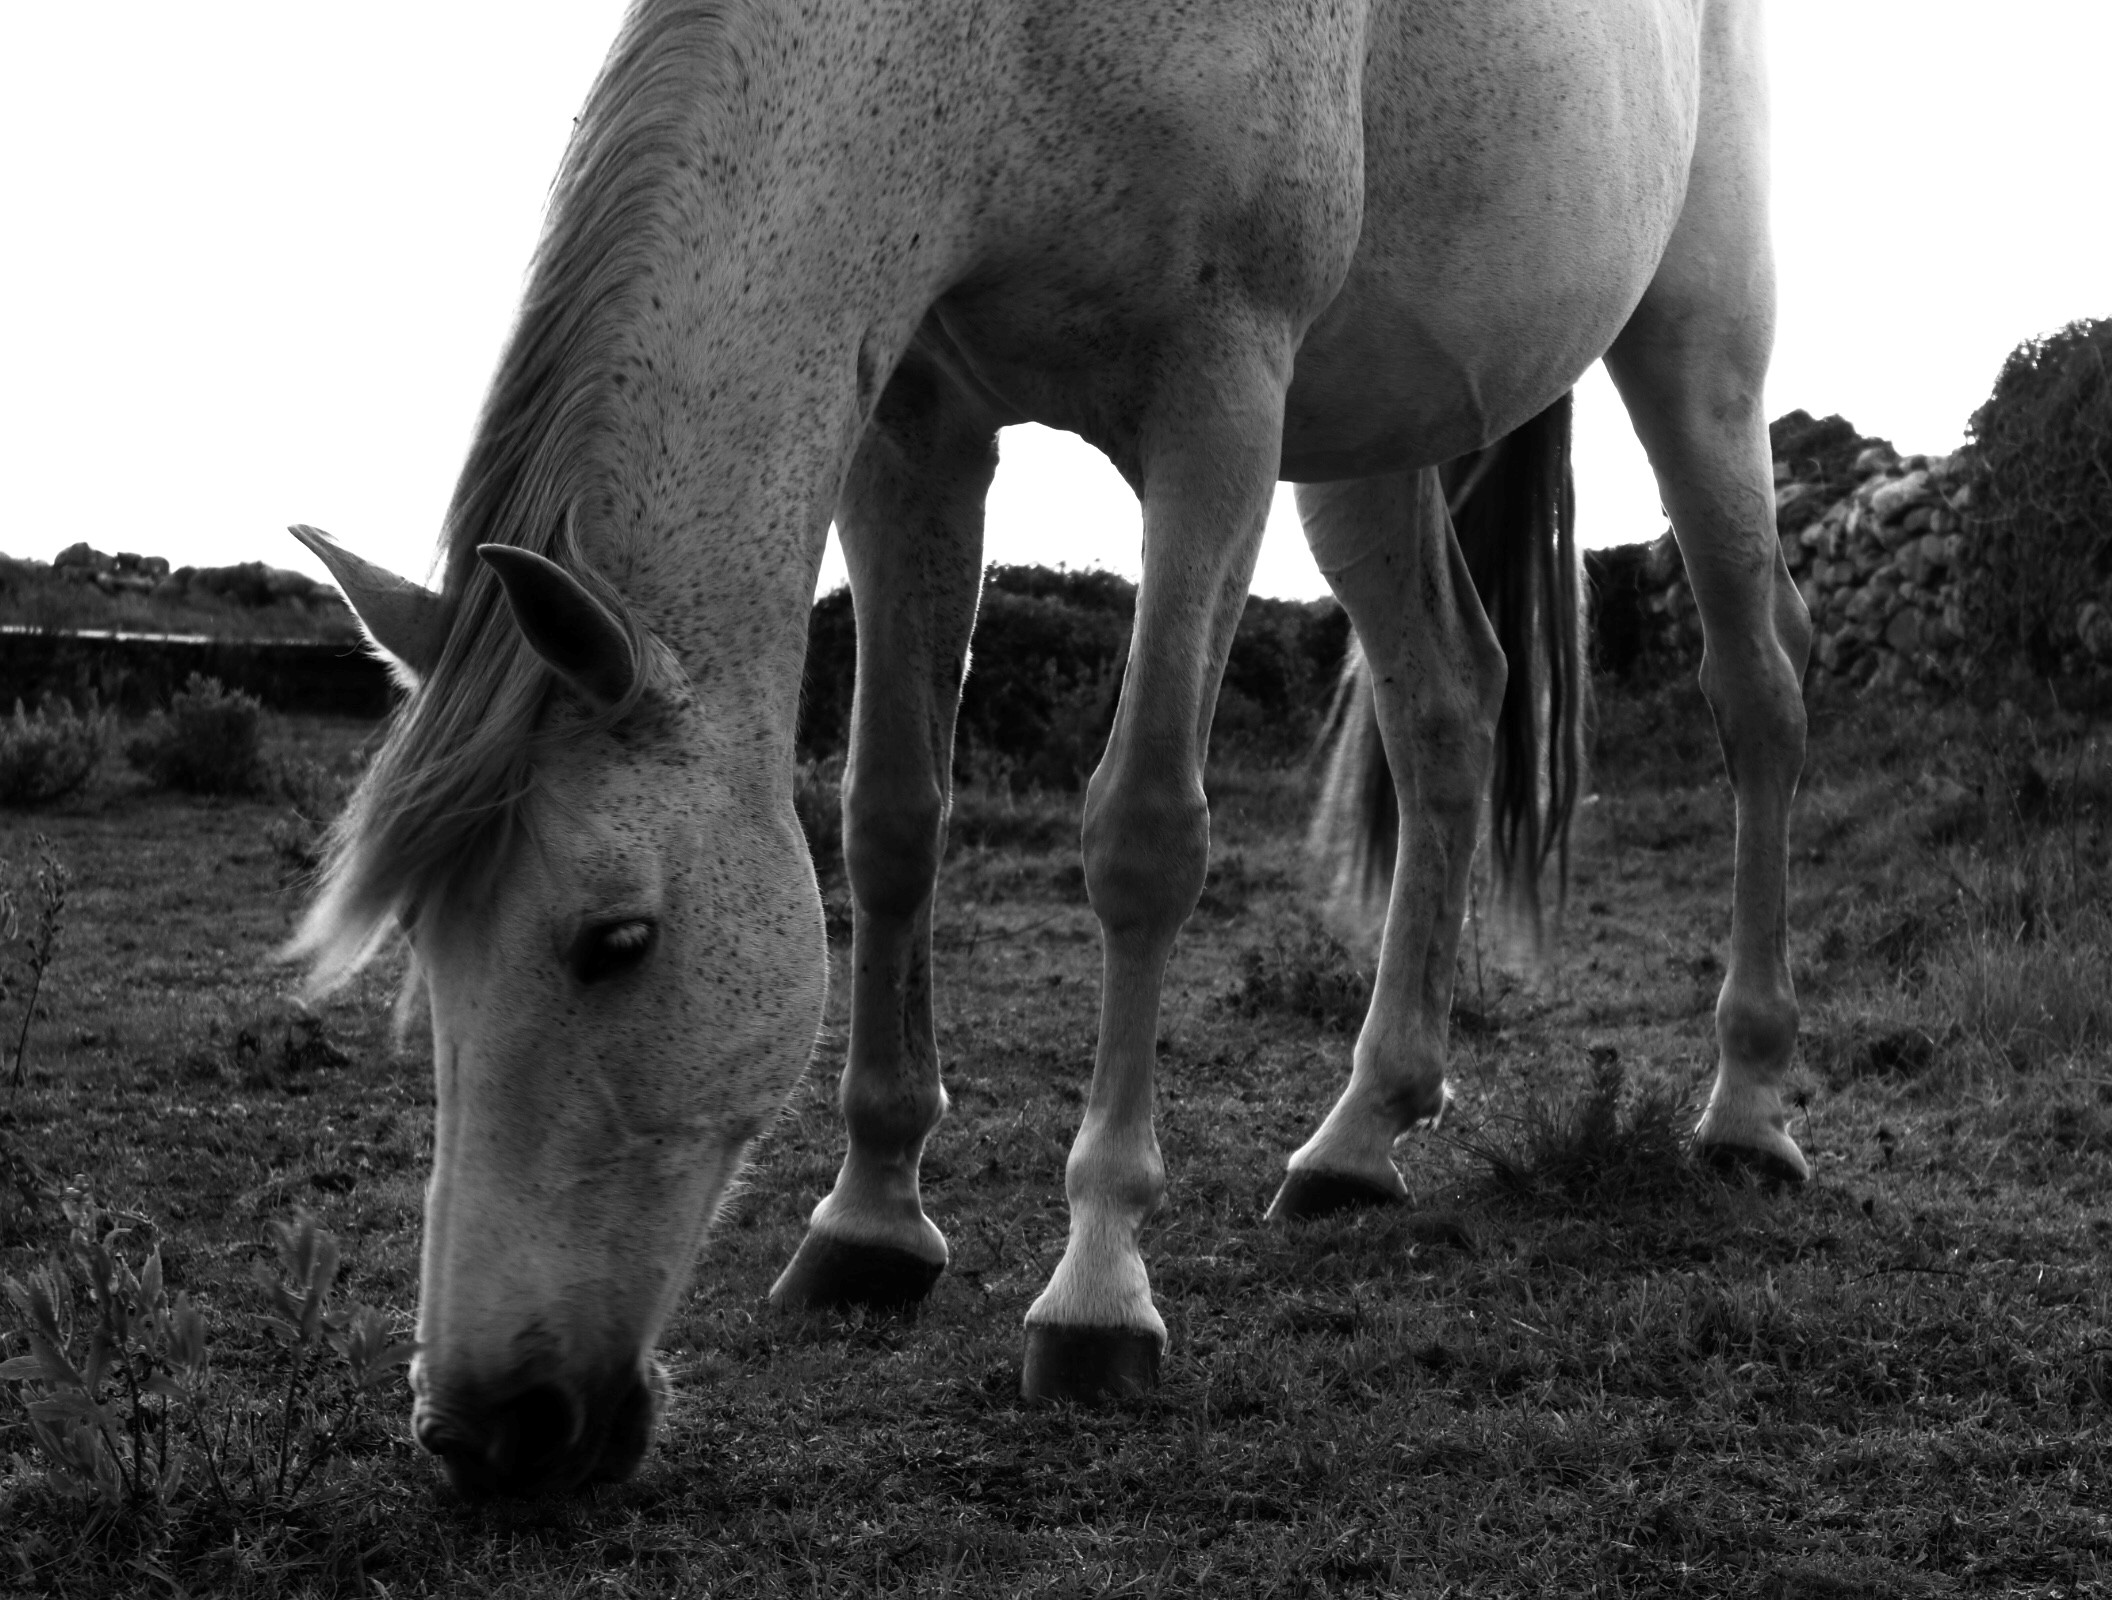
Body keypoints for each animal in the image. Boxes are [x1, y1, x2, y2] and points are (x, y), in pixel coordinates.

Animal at [288, 0, 1810, 1499]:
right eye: (427, 947)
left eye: (615, 941)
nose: (482, 1431)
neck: (1005, 51)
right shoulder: (916, 426)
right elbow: (890, 817)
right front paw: (869, 1222)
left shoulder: (1216, 411)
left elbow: (1143, 835)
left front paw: (1097, 1292)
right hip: (1370, 441)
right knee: (1446, 704)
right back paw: (1360, 1137)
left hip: (1695, 355)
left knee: (1759, 691)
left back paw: (1746, 1109)